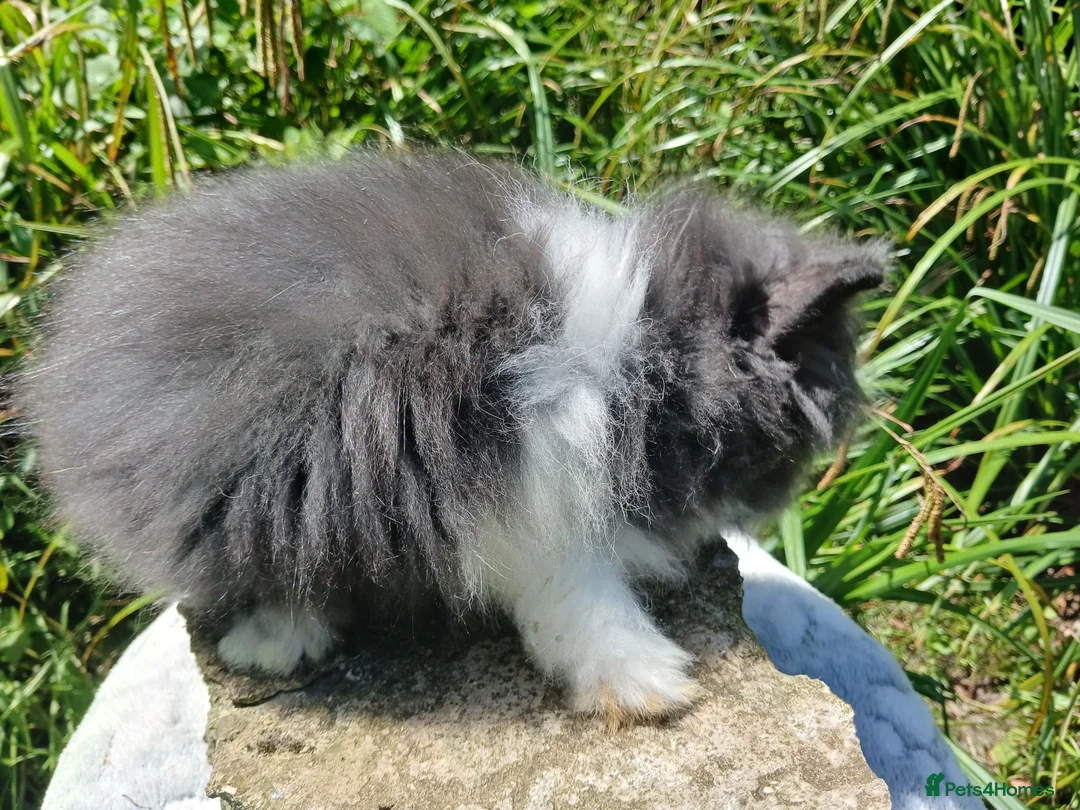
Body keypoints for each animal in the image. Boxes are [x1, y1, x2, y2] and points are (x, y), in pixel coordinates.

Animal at [19, 150, 885, 726]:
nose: (773, 505)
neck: (649, 358)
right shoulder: (530, 495)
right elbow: (582, 599)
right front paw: (653, 689)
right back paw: (276, 647)